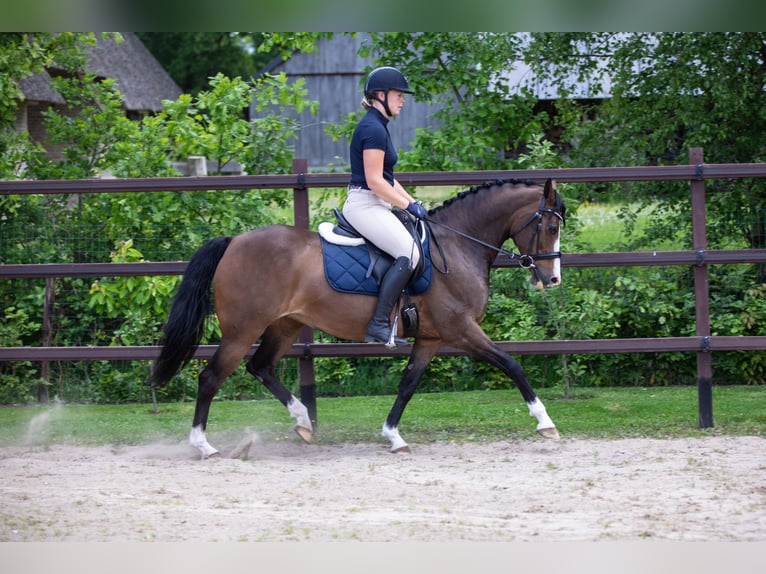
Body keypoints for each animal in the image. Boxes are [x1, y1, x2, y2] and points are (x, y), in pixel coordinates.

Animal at [150, 178, 566, 458]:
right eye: (550, 227)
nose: (552, 280)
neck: (457, 246)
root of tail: (234, 241)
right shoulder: (461, 329)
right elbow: (512, 364)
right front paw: (545, 423)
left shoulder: (431, 338)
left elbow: (407, 385)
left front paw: (394, 436)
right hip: (242, 329)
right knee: (211, 378)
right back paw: (204, 445)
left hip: (285, 325)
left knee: (261, 367)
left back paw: (303, 422)